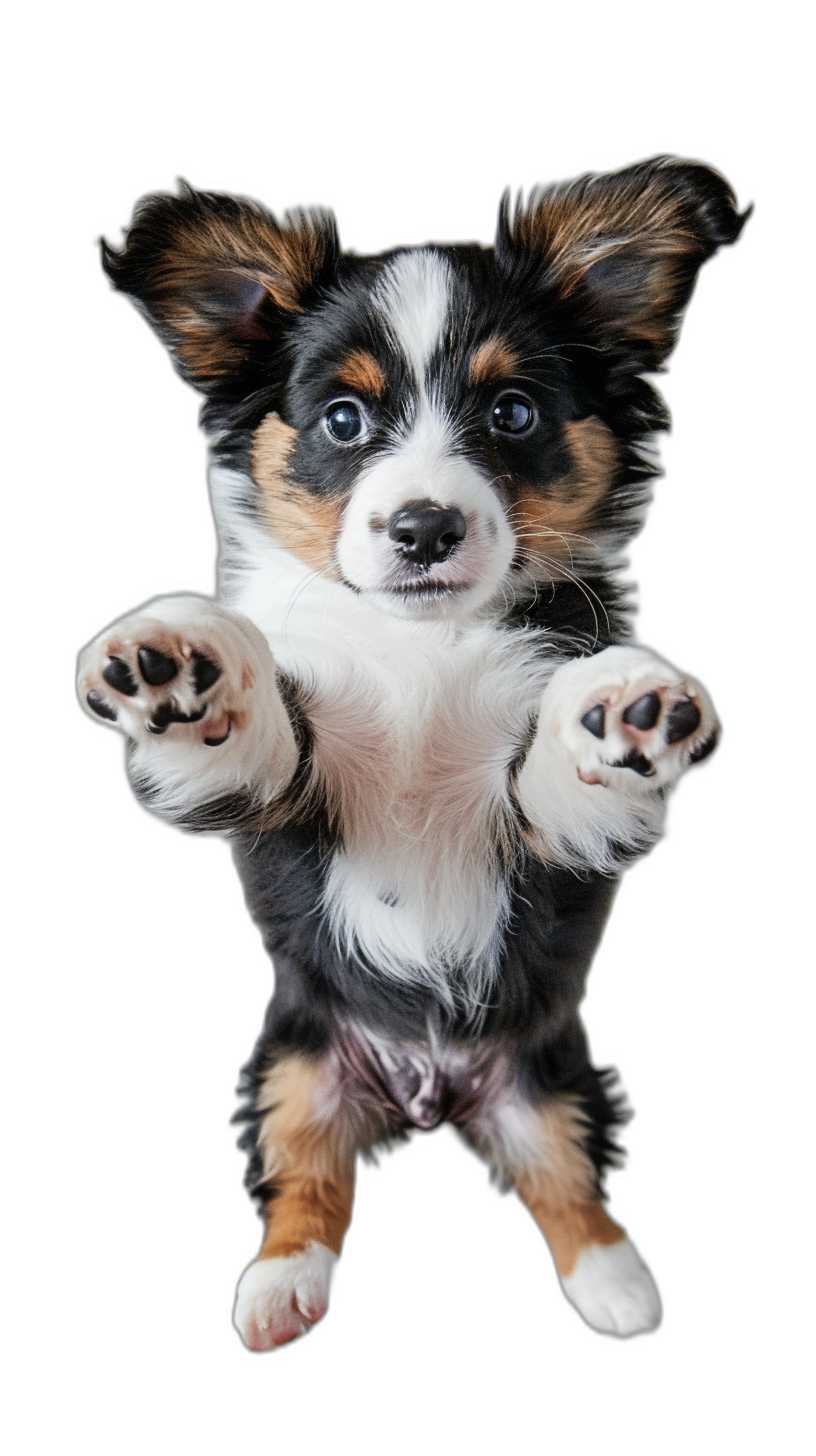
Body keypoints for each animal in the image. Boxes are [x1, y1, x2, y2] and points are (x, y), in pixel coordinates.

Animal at [79, 153, 751, 1345]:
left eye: (513, 412)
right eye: (344, 420)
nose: (426, 529)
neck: (422, 643)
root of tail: (428, 1094)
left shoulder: (548, 833)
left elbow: (560, 774)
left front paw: (621, 713)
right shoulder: (284, 795)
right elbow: (252, 732)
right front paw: (180, 666)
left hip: (557, 1073)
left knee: (563, 1177)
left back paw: (618, 1288)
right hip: (292, 1064)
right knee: (309, 1180)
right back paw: (280, 1289)